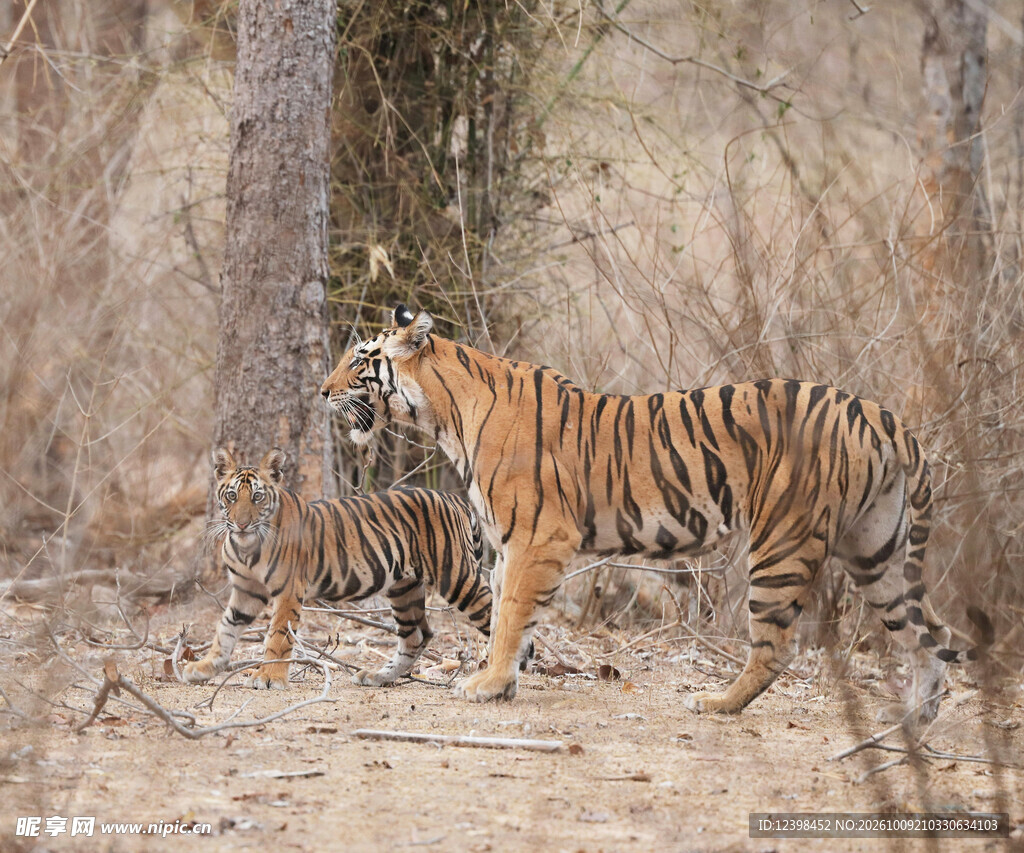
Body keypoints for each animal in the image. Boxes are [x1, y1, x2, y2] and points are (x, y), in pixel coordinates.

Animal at [182, 446, 493, 690]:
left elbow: (278, 636)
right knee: (416, 636)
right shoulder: (247, 591)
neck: (246, 547)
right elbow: (225, 629)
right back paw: (378, 676)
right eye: (232, 496)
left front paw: (269, 677)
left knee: (493, 613)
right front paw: (204, 667)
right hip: (404, 588)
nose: (242, 524)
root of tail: (455, 498)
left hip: (456, 576)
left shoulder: (288, 591)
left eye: (257, 497)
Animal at [320, 305, 992, 721]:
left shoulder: (538, 538)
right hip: (878, 552)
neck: (444, 416)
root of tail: (885, 417)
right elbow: (511, 616)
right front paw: (504, 682)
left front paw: (487, 683)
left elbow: (508, 616)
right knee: (931, 634)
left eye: (359, 360)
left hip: (783, 543)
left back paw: (717, 704)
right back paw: (913, 722)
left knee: (777, 646)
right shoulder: (513, 545)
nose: (321, 392)